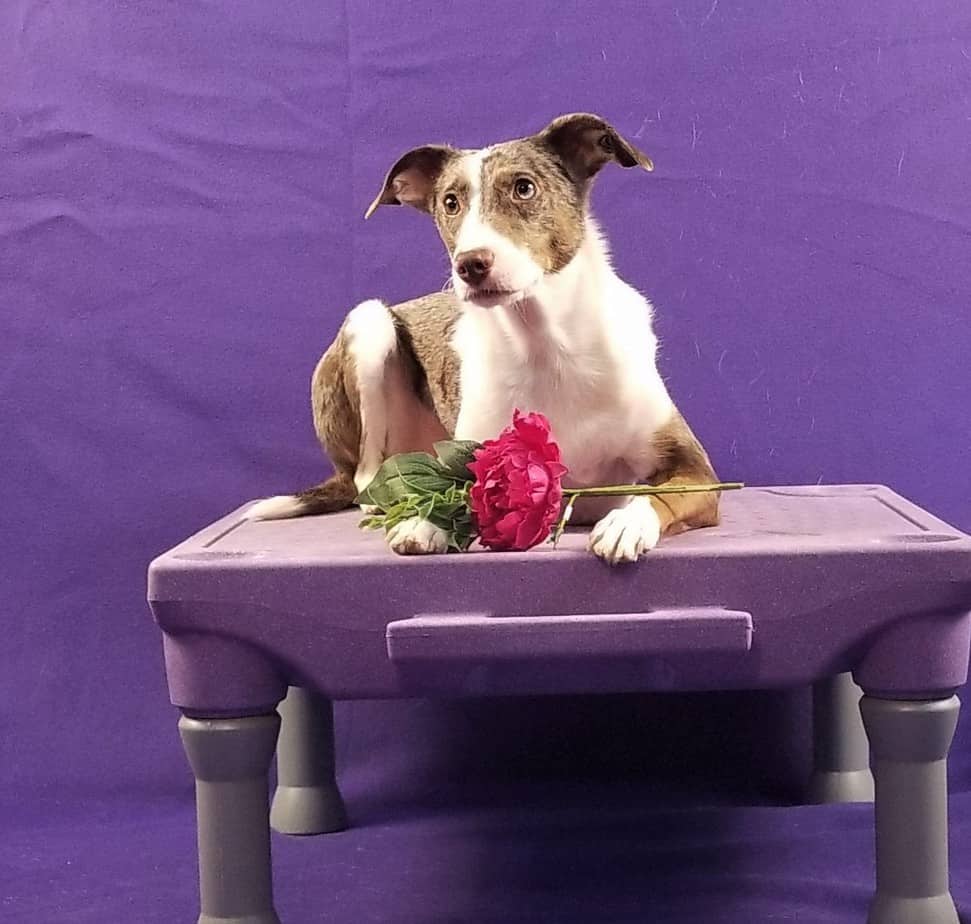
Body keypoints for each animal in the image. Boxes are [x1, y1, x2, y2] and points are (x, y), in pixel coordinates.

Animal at [249, 114, 720, 564]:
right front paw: (427, 522)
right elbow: (460, 494)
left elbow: (653, 494)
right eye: (450, 202)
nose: (470, 264)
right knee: (366, 478)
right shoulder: (477, 461)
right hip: (369, 323)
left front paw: (627, 525)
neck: (546, 346)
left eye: (524, 188)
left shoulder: (697, 472)